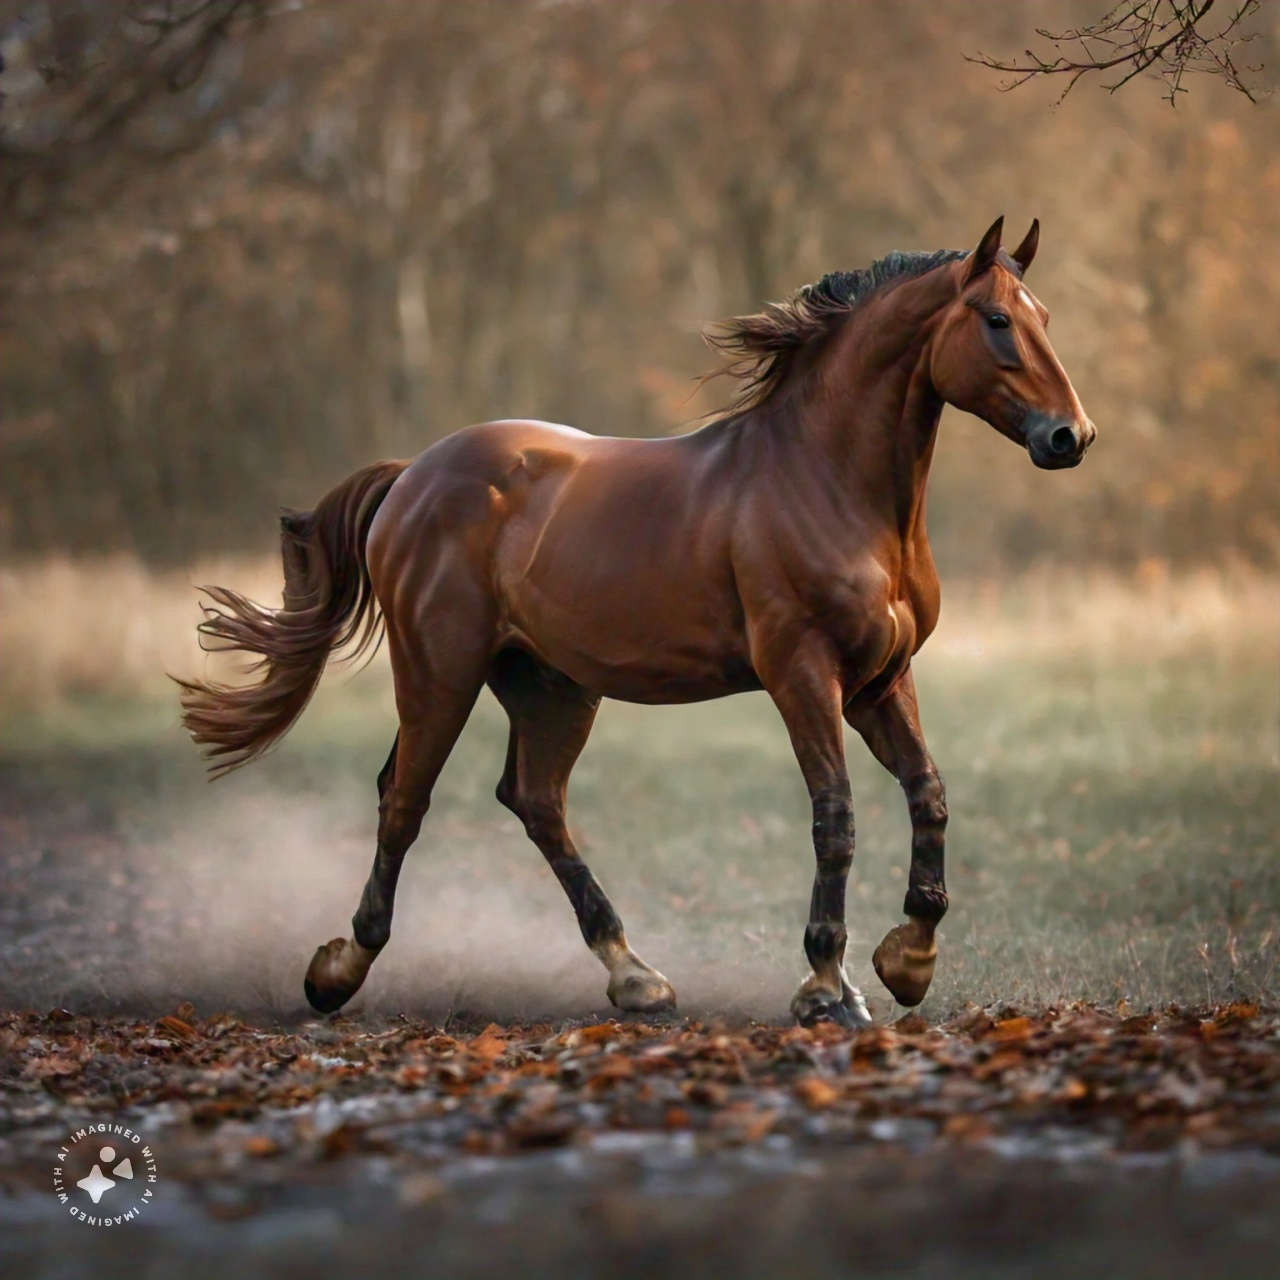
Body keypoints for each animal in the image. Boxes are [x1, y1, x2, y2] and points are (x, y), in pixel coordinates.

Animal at [180, 215, 1095, 1024]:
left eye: (1049, 317)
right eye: (998, 320)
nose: (1071, 437)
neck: (830, 483)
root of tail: (413, 476)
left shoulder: (880, 680)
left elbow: (927, 794)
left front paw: (906, 962)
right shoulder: (802, 673)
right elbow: (834, 817)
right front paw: (826, 989)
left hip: (550, 686)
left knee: (534, 800)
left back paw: (635, 977)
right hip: (440, 670)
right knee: (405, 798)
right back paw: (338, 970)